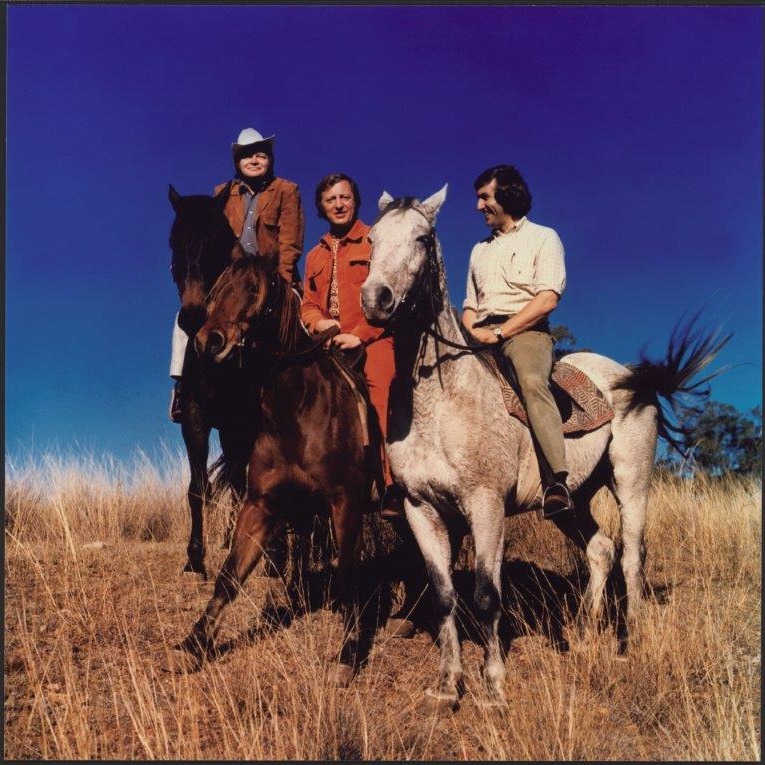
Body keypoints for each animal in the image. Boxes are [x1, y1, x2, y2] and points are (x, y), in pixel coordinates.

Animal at [165, 255, 374, 680]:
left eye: (252, 289)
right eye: (218, 289)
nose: (208, 340)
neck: (299, 409)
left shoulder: (346, 503)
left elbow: (347, 578)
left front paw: (347, 654)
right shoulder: (262, 504)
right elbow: (230, 576)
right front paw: (193, 644)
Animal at [358, 187, 728, 712]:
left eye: (423, 238)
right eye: (371, 237)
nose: (376, 299)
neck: (443, 401)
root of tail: (632, 377)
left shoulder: (485, 504)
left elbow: (486, 595)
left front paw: (494, 687)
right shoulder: (420, 508)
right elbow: (445, 596)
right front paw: (447, 686)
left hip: (631, 483)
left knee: (632, 558)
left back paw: (627, 646)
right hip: (571, 501)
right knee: (600, 550)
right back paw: (585, 637)